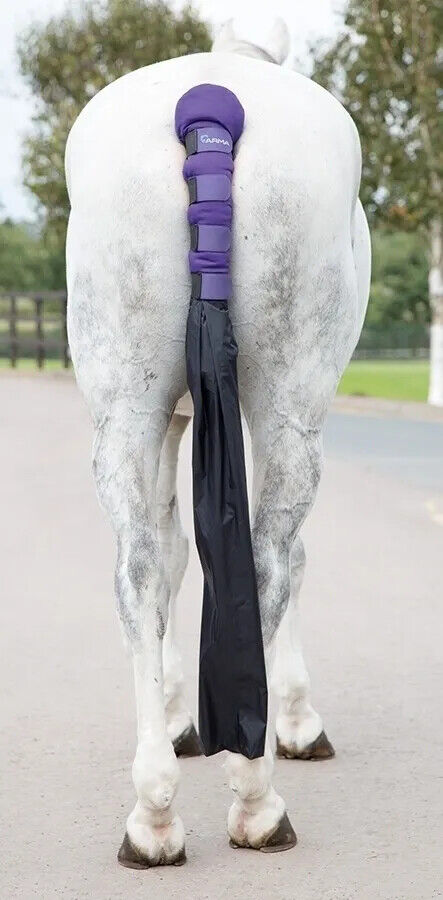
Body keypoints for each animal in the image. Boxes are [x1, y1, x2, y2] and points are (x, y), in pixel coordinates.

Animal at [65, 18, 370, 867]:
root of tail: (208, 104)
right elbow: (285, 560)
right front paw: (294, 719)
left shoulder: (170, 421)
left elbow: (169, 557)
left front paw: (174, 721)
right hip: (290, 406)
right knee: (270, 561)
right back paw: (257, 799)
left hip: (125, 408)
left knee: (136, 569)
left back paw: (153, 815)